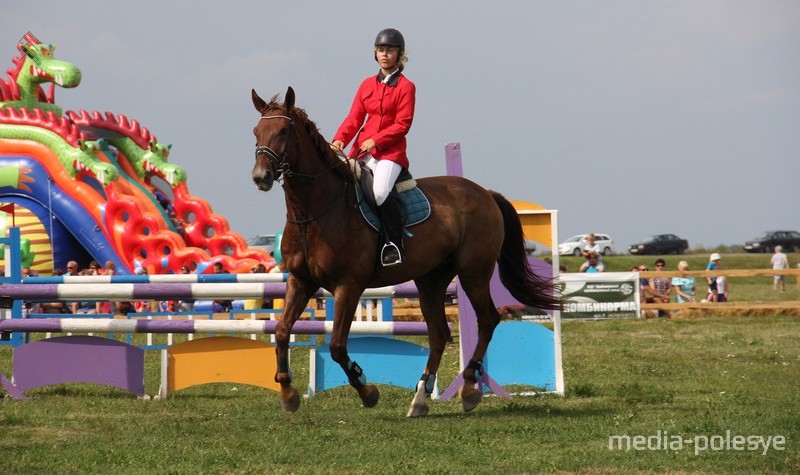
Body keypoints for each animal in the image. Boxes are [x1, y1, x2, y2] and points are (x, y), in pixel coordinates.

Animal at [253, 86, 560, 416]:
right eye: (256, 131)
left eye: (284, 131)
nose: (260, 177)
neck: (315, 211)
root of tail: (485, 193)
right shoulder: (301, 281)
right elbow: (281, 331)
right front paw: (288, 394)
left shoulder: (348, 286)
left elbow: (336, 345)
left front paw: (368, 391)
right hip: (431, 280)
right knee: (439, 334)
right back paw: (420, 399)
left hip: (473, 272)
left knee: (487, 320)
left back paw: (468, 389)